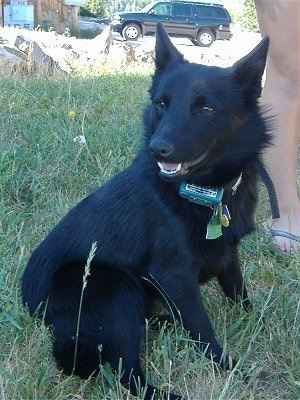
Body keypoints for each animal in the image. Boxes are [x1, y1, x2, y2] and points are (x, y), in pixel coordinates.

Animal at [21, 24, 270, 400]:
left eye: (206, 109)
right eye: (161, 104)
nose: (158, 149)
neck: (206, 194)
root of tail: (31, 306)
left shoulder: (228, 254)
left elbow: (240, 295)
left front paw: (261, 324)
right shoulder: (174, 276)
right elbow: (203, 329)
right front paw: (230, 367)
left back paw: (164, 322)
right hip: (116, 288)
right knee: (128, 375)